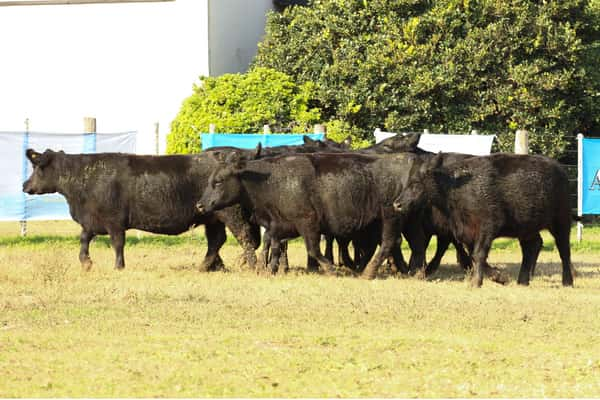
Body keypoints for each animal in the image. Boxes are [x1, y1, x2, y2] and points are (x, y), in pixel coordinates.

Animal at [21, 149, 260, 272]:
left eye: (38, 167)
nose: (25, 185)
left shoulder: (114, 221)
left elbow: (117, 244)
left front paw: (118, 266)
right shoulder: (92, 220)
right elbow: (83, 239)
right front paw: (86, 262)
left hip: (231, 214)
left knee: (245, 238)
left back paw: (250, 266)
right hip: (212, 217)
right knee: (216, 240)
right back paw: (207, 266)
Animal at [394, 152, 576, 286]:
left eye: (416, 183)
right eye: (407, 182)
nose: (397, 204)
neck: (457, 187)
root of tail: (560, 169)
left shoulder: (487, 227)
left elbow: (479, 254)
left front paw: (477, 282)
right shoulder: (465, 232)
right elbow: (472, 255)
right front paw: (499, 277)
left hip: (561, 222)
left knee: (564, 250)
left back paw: (567, 281)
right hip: (526, 228)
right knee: (532, 246)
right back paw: (523, 280)